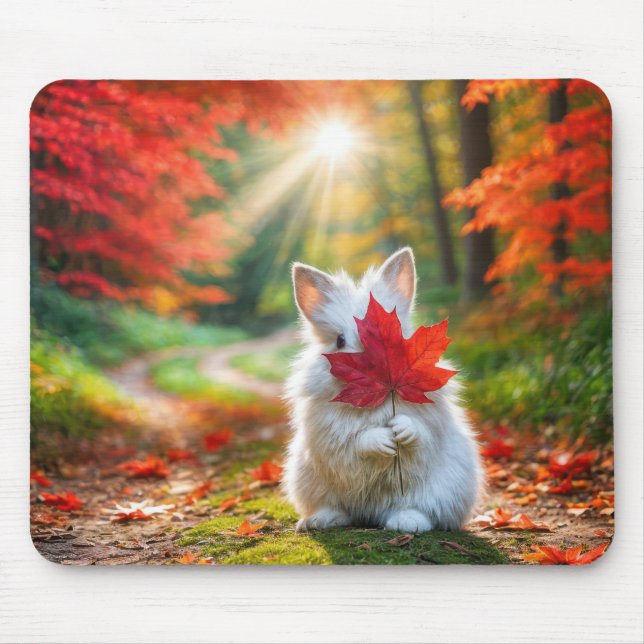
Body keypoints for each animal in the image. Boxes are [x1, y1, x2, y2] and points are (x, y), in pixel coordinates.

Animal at [282, 247, 482, 533]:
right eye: (339, 340)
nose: (368, 363)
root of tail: (370, 515)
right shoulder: (329, 433)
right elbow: (358, 441)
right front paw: (384, 440)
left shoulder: (431, 419)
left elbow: (420, 431)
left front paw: (400, 429)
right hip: (308, 480)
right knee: (337, 509)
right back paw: (319, 521)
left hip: (445, 487)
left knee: (423, 511)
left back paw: (407, 523)